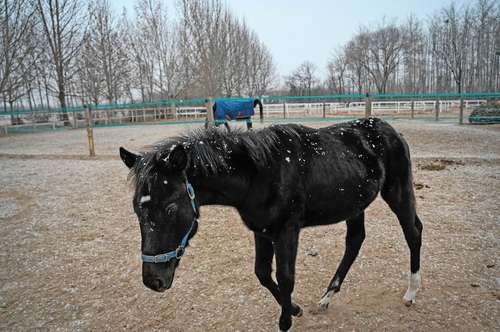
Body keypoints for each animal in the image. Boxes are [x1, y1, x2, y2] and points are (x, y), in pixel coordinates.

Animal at [120, 117, 422, 332]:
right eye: (136, 208)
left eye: (170, 207)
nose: (153, 280)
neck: (260, 174)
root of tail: (390, 129)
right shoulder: (262, 231)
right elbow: (262, 273)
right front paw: (295, 310)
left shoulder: (287, 231)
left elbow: (286, 277)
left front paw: (286, 321)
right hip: (355, 205)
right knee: (355, 242)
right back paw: (327, 297)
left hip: (397, 192)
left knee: (413, 232)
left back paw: (411, 293)